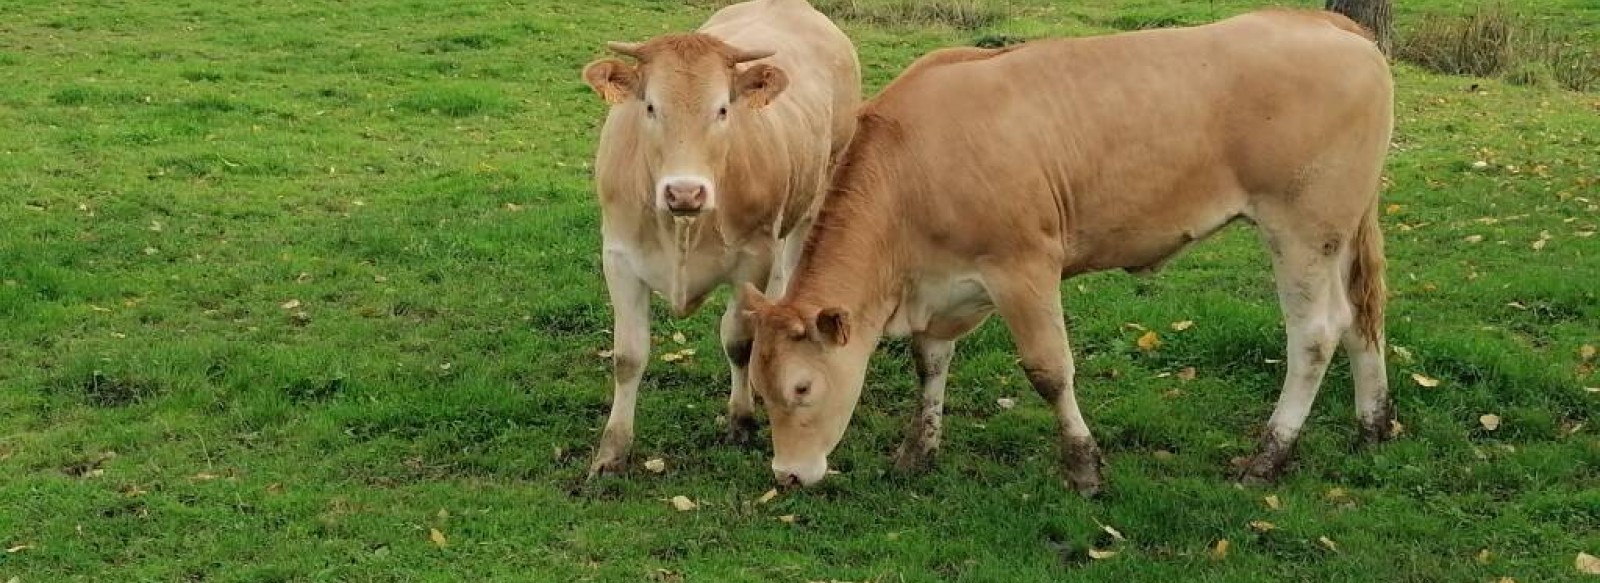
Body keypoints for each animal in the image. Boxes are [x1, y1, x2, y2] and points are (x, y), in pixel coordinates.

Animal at [582, 0, 864, 477]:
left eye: (722, 110)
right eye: (651, 107)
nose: (684, 192)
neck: (682, 227)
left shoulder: (753, 257)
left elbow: (737, 341)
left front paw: (741, 420)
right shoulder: (618, 258)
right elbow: (628, 356)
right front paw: (612, 451)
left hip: (817, 191)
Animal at [736, 9, 1388, 493]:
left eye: (802, 388)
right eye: (760, 389)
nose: (787, 475)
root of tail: (1332, 24)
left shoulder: (1023, 266)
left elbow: (1049, 371)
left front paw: (1083, 467)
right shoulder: (943, 285)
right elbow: (931, 363)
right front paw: (917, 452)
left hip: (1303, 228)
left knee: (1316, 332)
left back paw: (1269, 456)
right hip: (1344, 229)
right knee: (1361, 319)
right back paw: (1374, 425)